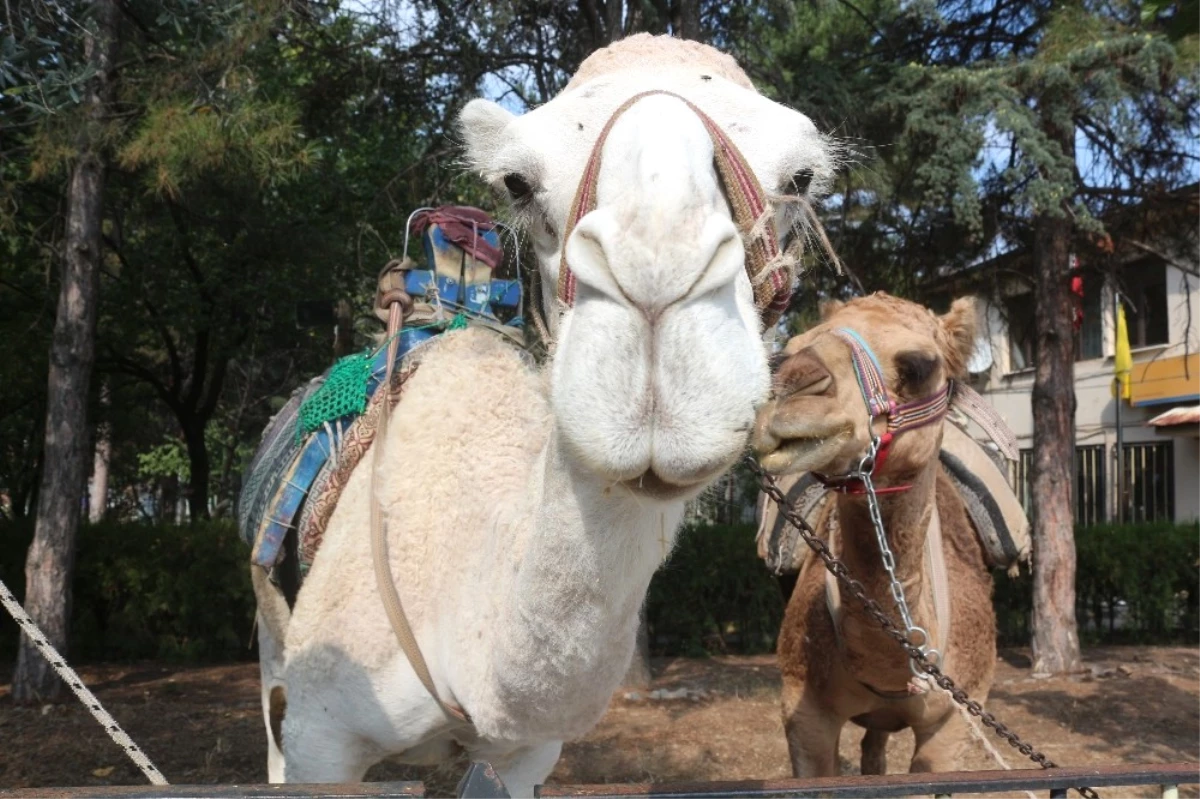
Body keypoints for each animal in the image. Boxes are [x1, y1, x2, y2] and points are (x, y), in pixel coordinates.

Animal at [253, 34, 835, 791]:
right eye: (517, 183)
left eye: (802, 177)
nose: (655, 269)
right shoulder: (322, 733)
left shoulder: (527, 753)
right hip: (275, 647)